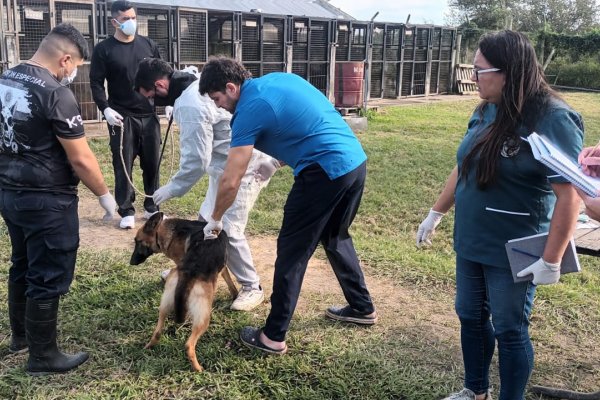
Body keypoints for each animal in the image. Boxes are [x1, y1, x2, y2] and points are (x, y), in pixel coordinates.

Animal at [130, 212, 238, 372]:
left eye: (138, 241)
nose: (131, 262)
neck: (163, 231)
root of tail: (189, 273)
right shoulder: (222, 267)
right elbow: (230, 281)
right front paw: (235, 295)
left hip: (164, 305)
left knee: (157, 331)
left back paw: (149, 346)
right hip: (203, 317)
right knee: (189, 344)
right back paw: (198, 368)